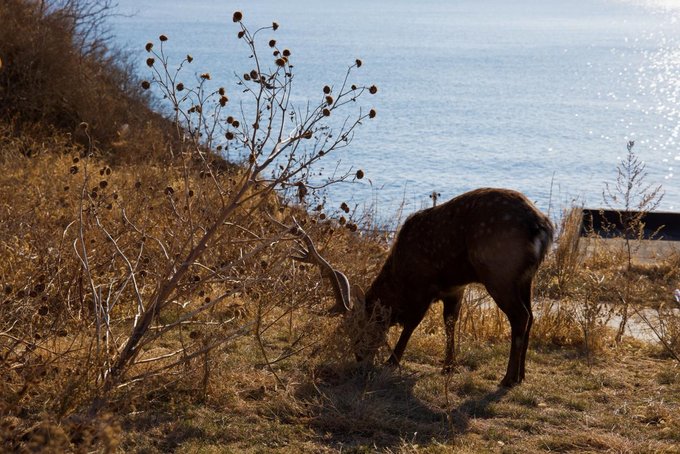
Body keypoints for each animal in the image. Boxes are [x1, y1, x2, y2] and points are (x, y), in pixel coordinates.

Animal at [291, 188, 554, 388]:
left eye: (357, 328)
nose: (360, 358)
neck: (401, 277)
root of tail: (542, 227)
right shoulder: (454, 288)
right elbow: (450, 322)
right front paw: (448, 365)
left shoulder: (424, 285)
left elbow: (412, 324)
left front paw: (392, 361)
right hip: (525, 278)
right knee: (531, 316)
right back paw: (521, 375)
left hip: (499, 272)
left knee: (520, 316)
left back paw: (508, 378)